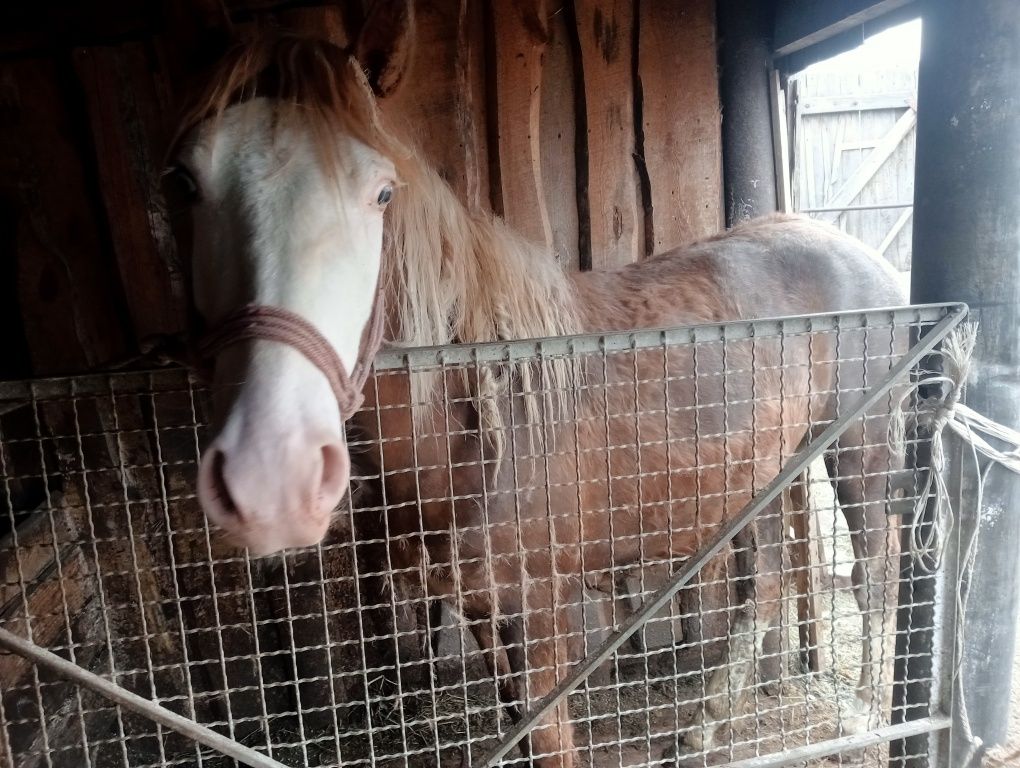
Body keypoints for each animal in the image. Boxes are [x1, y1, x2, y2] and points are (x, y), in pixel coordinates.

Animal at [169, 13, 909, 766]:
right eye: (185, 182)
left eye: (382, 192)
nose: (270, 471)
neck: (480, 416)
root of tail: (861, 256)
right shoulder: (478, 607)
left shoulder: (538, 611)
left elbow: (549, 738)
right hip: (760, 472)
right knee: (765, 585)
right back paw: (702, 728)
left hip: (859, 447)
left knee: (875, 571)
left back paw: (866, 715)